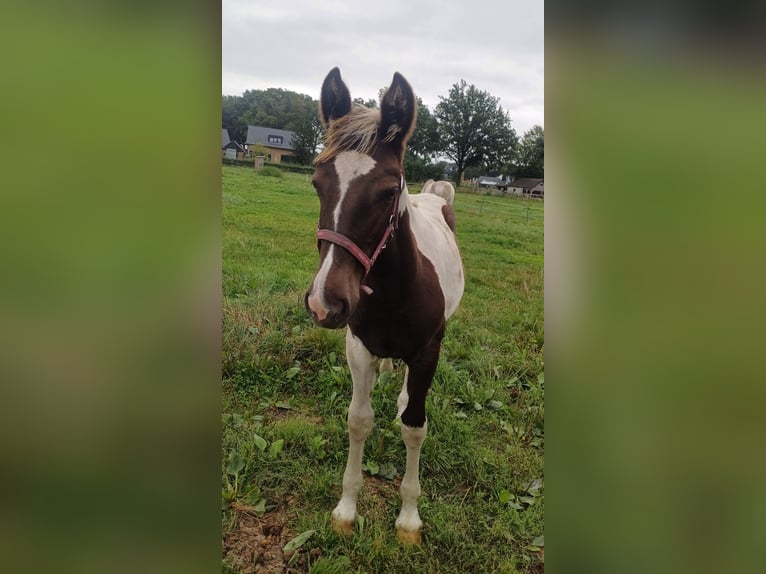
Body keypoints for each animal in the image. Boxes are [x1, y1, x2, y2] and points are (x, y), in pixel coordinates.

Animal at [308, 67, 468, 544]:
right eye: (317, 183)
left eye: (387, 190)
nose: (325, 303)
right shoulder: (358, 346)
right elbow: (359, 420)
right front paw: (346, 510)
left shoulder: (428, 351)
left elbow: (414, 426)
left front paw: (409, 519)